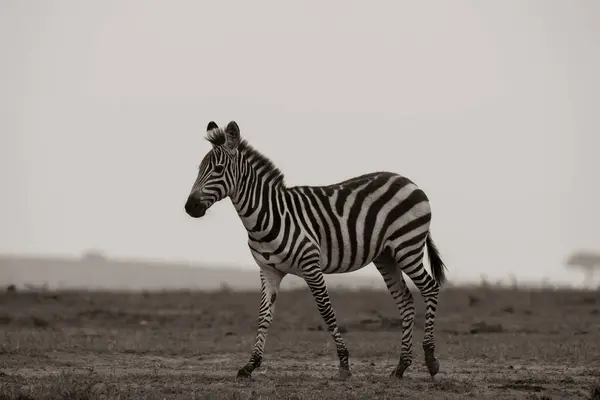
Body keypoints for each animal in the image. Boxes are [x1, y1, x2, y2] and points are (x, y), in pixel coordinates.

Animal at [185, 120, 448, 380]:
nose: (190, 207)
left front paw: (344, 364)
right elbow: (264, 315)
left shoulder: (311, 266)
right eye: (199, 168)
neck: (268, 215)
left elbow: (326, 311)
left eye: (218, 169)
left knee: (430, 288)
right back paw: (401, 366)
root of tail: (408, 181)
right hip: (386, 256)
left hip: (407, 246)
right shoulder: (268, 271)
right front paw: (251, 365)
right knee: (405, 301)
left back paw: (431, 360)